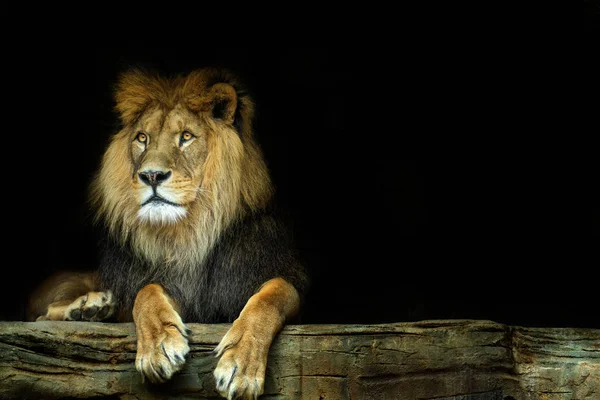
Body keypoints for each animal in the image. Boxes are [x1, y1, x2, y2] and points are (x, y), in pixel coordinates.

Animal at [27, 67, 310, 398]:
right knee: (41, 316)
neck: (193, 231)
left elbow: (271, 297)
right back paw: (89, 307)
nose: (151, 175)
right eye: (142, 138)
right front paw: (158, 348)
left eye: (186, 136)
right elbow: (146, 292)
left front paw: (240, 366)